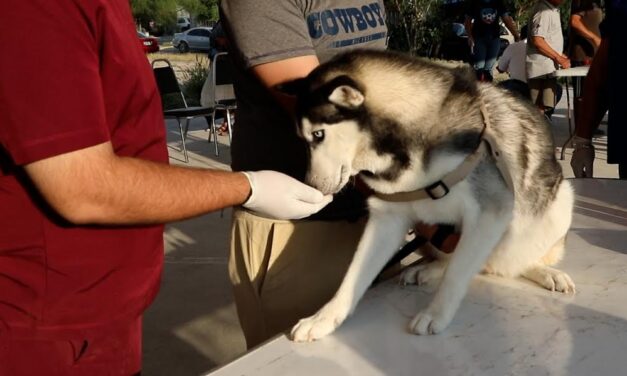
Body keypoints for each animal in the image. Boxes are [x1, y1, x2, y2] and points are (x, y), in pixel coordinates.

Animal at [282, 50, 576, 340]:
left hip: (558, 203)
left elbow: (457, 273)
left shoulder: (491, 210)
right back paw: (426, 268)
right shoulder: (387, 218)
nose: (312, 186)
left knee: (508, 259)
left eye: (318, 134)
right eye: (303, 138)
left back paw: (547, 273)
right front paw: (324, 318)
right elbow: (352, 277)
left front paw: (436, 313)